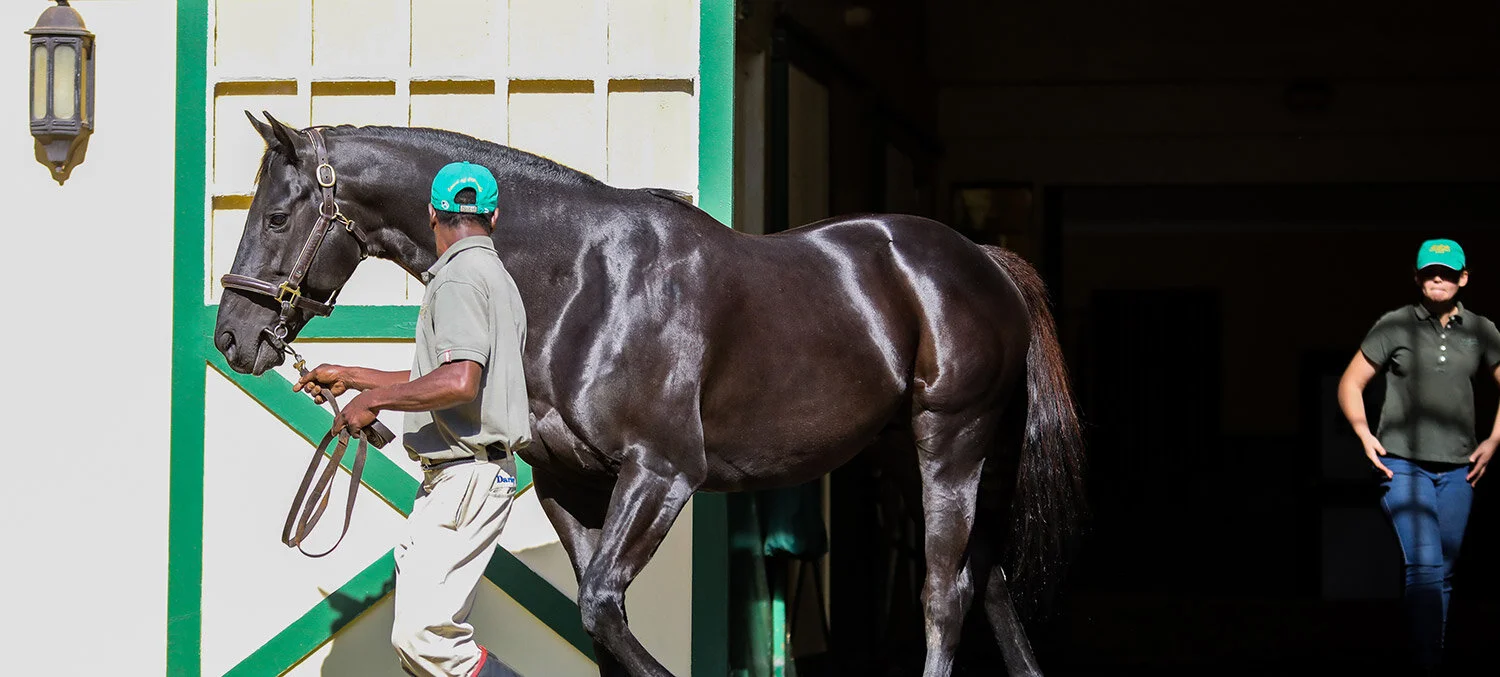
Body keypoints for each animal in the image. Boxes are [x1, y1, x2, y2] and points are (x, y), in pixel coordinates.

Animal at [214, 112, 1086, 677]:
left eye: (279, 213)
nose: (232, 337)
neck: (580, 279)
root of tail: (980, 258)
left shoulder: (662, 472)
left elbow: (602, 608)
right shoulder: (569, 482)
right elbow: (598, 621)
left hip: (951, 445)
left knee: (943, 592)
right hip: (911, 453)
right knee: (985, 582)